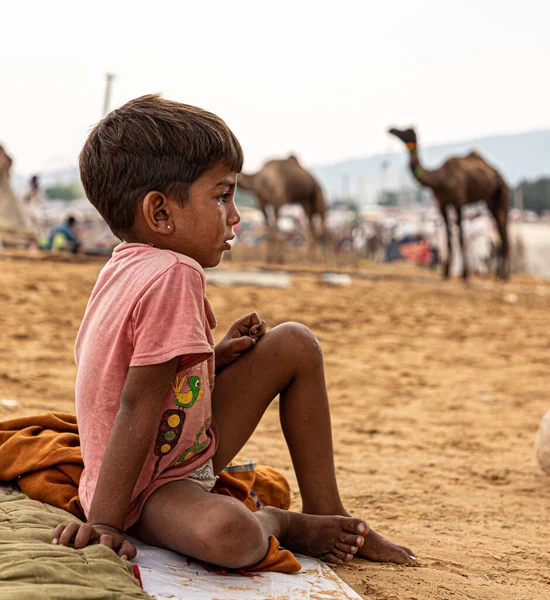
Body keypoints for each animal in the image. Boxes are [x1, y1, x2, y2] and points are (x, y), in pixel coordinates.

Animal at [388, 127, 512, 280]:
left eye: (407, 131)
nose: (392, 129)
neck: (440, 179)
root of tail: (500, 176)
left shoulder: (458, 201)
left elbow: (460, 235)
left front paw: (465, 274)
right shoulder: (442, 203)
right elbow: (448, 235)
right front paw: (445, 272)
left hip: (502, 195)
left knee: (503, 230)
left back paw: (504, 275)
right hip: (490, 201)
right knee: (500, 231)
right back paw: (500, 274)